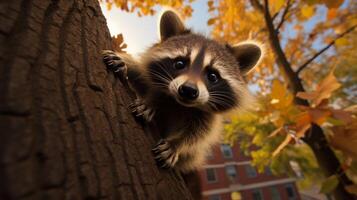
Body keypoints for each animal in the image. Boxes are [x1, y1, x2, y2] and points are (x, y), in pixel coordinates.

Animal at [101, 10, 262, 172]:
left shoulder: (207, 119)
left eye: (212, 76)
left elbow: (198, 135)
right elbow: (138, 73)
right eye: (179, 63)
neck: (177, 103)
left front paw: (177, 144)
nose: (188, 90)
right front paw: (126, 64)